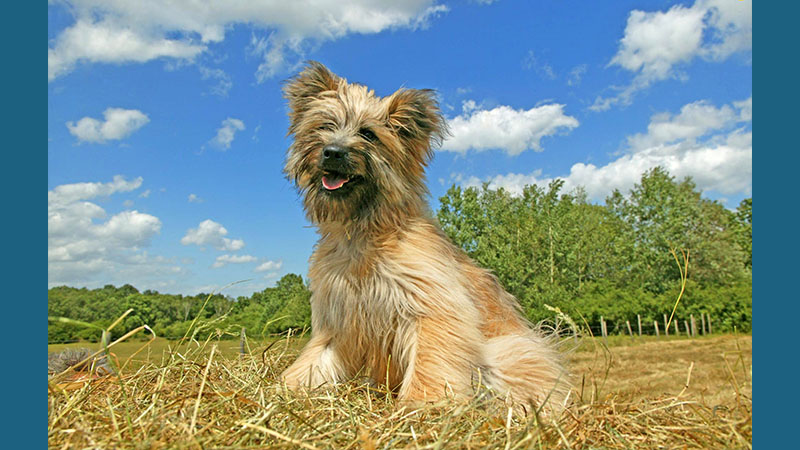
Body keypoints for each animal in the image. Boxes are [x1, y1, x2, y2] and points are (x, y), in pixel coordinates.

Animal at [282, 61, 568, 414]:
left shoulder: (432, 307)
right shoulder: (339, 322)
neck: (366, 234)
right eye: (324, 125)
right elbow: (313, 361)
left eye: (368, 134)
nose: (333, 152)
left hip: (509, 351)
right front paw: (288, 387)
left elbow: (430, 362)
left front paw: (423, 403)